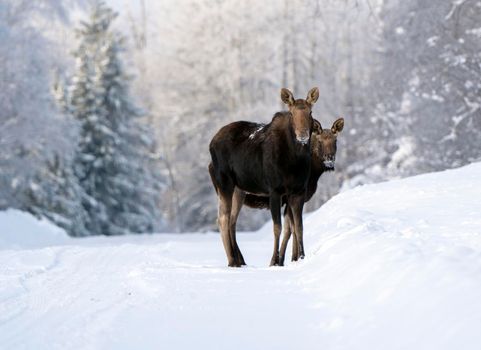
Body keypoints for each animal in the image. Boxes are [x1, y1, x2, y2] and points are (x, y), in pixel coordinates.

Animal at [207, 88, 316, 268]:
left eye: (310, 112)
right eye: (291, 113)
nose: (303, 135)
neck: (295, 161)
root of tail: (211, 143)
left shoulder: (298, 192)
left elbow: (299, 227)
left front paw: (301, 257)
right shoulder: (275, 191)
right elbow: (277, 227)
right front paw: (274, 261)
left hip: (239, 190)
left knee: (231, 220)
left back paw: (239, 260)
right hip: (224, 183)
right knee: (222, 219)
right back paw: (232, 261)